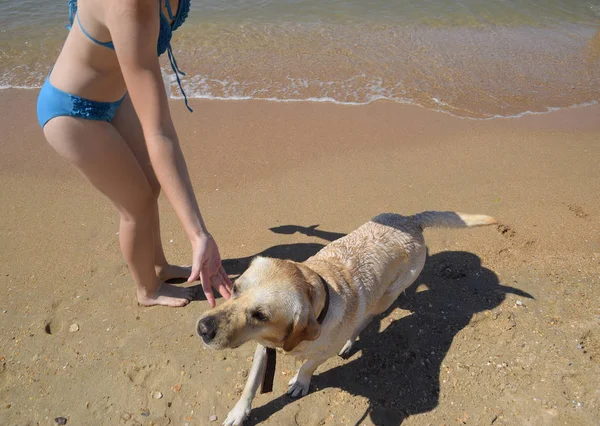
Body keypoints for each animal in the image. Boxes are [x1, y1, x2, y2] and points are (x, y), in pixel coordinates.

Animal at [197, 211, 496, 424]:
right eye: (235, 288)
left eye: (260, 315)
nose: (202, 328)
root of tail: (411, 220)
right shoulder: (263, 347)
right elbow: (249, 385)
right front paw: (238, 413)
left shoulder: (321, 352)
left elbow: (308, 366)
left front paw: (300, 382)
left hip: (386, 296)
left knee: (364, 319)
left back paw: (350, 342)